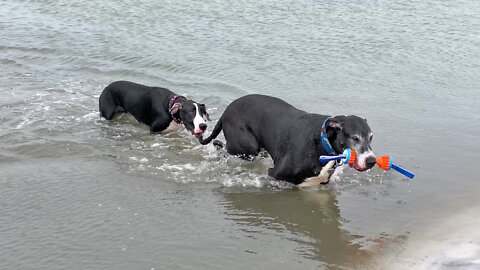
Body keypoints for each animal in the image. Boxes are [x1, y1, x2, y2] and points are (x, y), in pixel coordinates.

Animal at [198, 94, 376, 186]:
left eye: (371, 137)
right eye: (355, 138)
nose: (371, 161)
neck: (321, 143)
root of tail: (226, 111)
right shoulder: (275, 174)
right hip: (247, 148)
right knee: (223, 146)